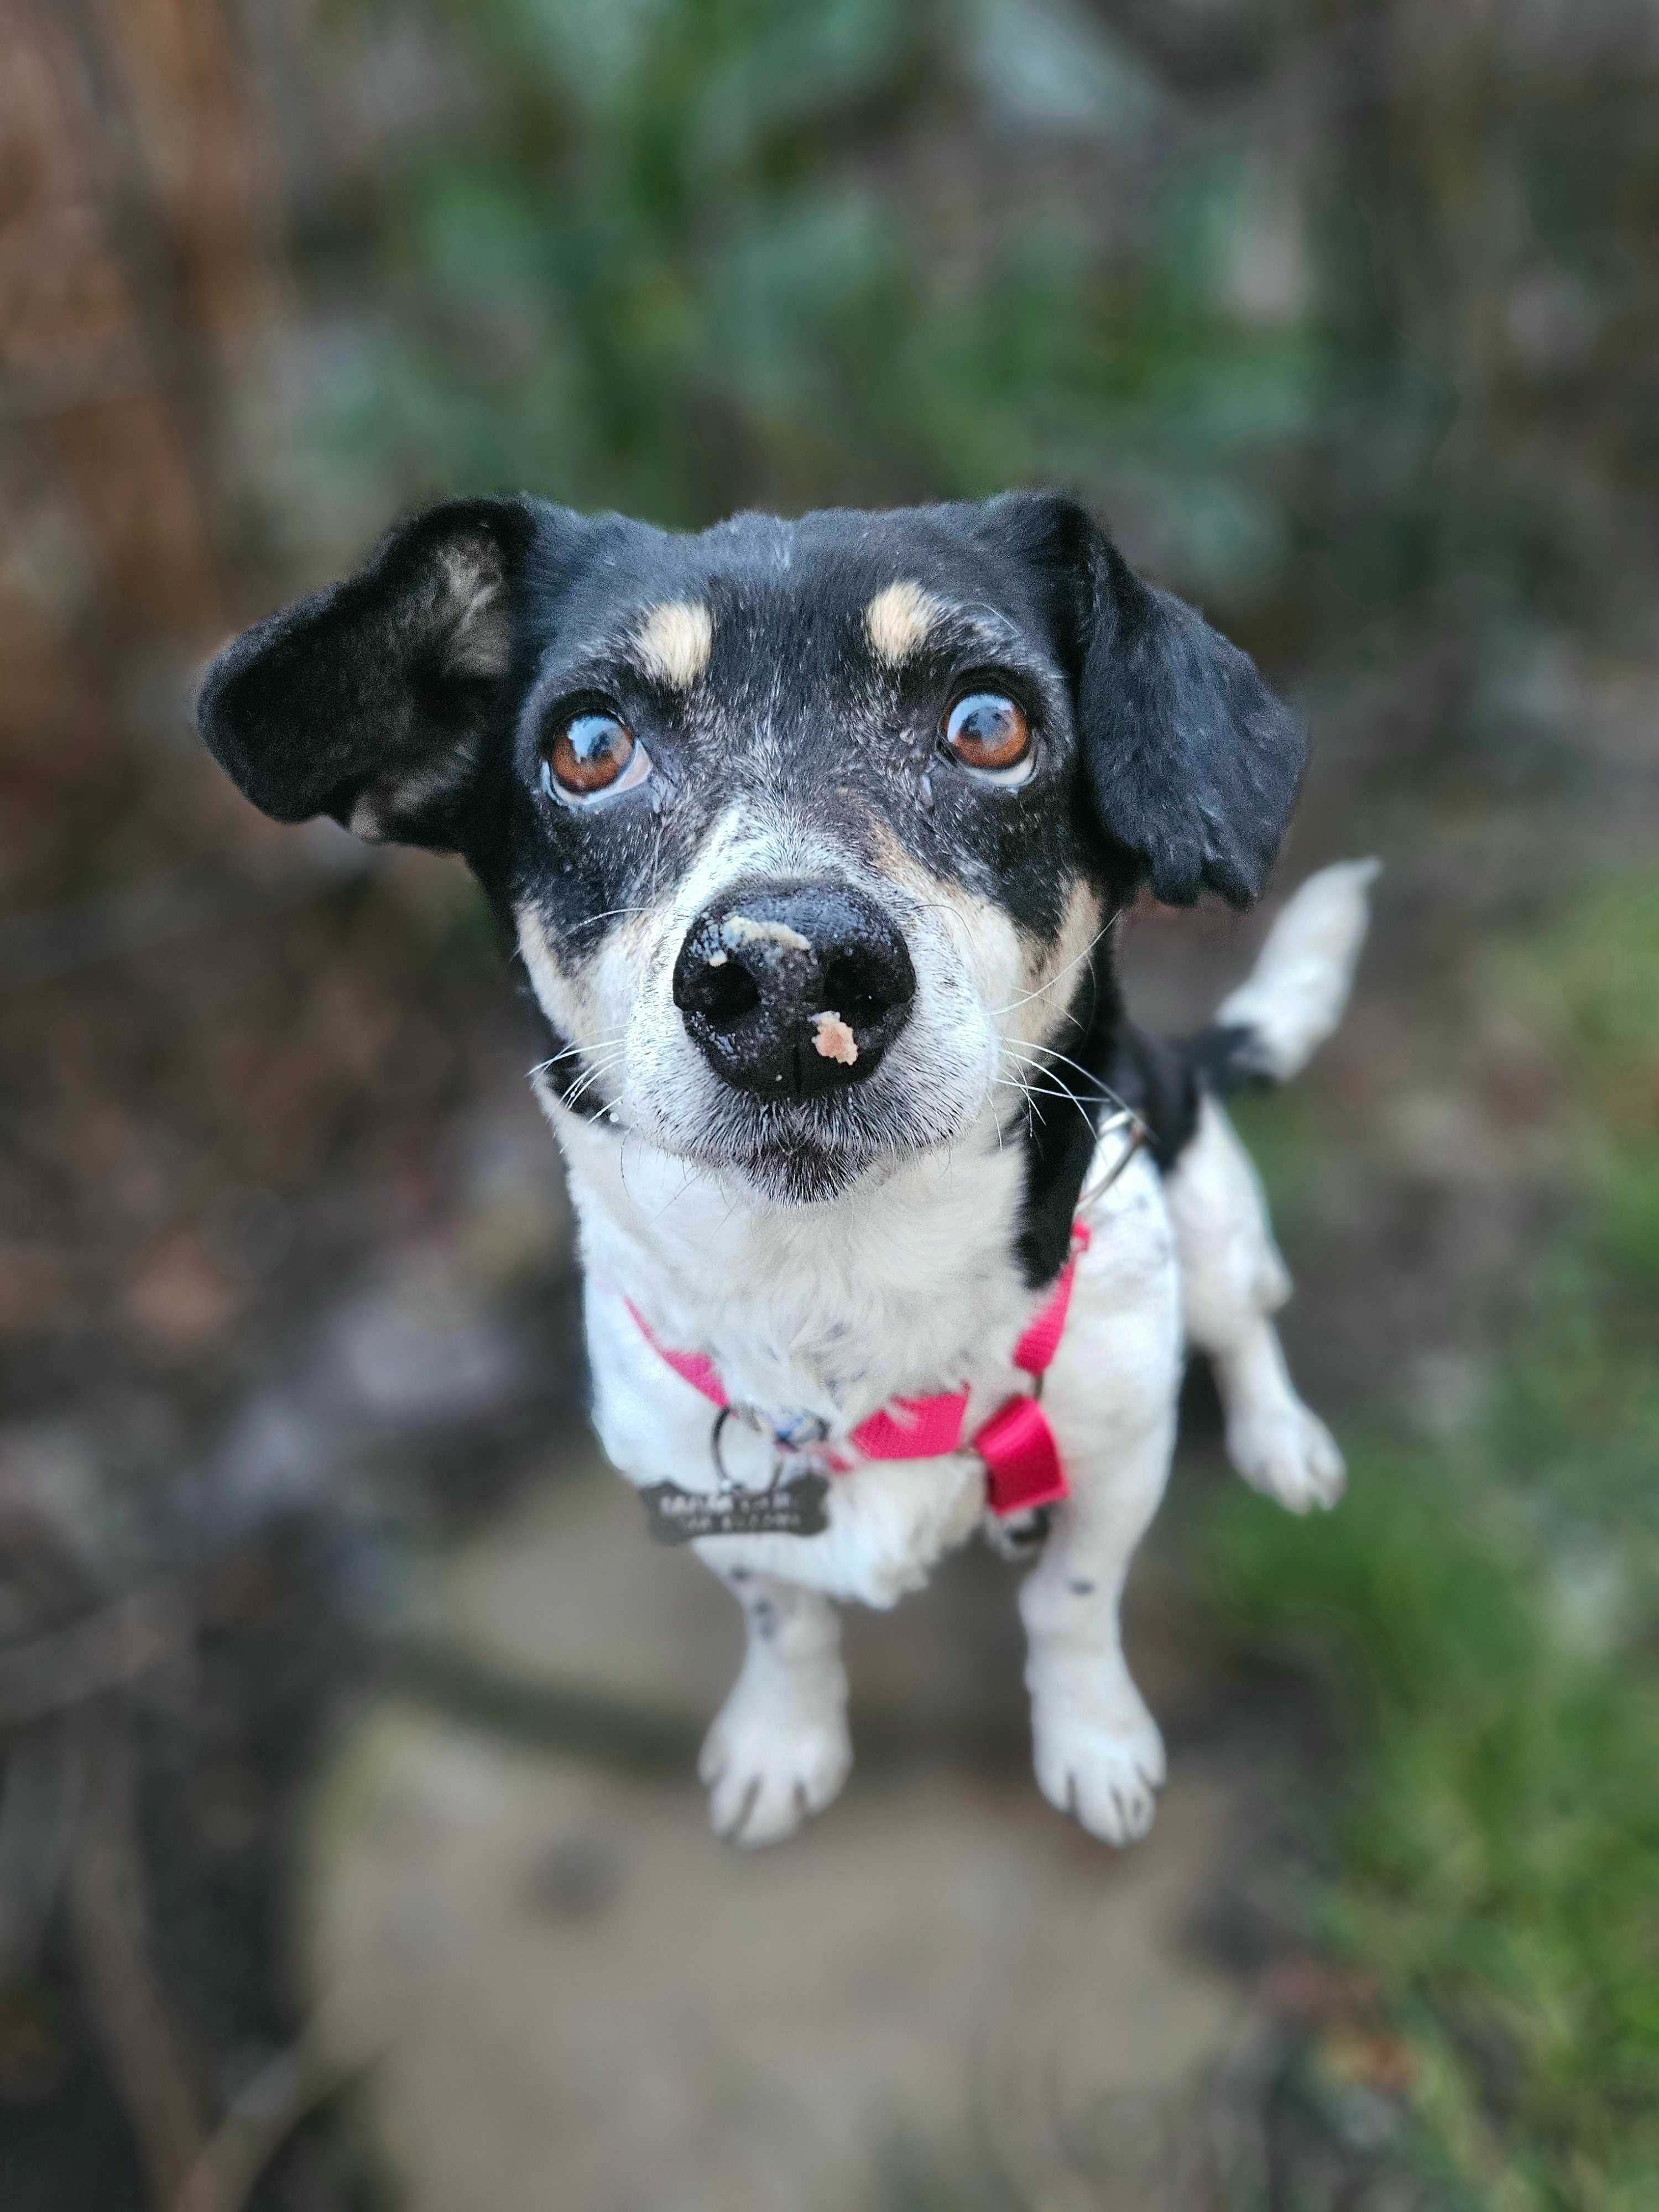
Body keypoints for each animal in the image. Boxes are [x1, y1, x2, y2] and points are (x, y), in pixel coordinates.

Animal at [198, 498, 1380, 1849]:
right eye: (588, 745)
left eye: (989, 723)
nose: (787, 969)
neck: (840, 1289)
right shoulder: (712, 1502)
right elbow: (789, 1623)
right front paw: (782, 1737)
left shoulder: (1116, 1459)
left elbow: (1071, 1605)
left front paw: (1094, 1738)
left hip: (1208, 1203)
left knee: (1247, 1324)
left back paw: (1284, 1442)